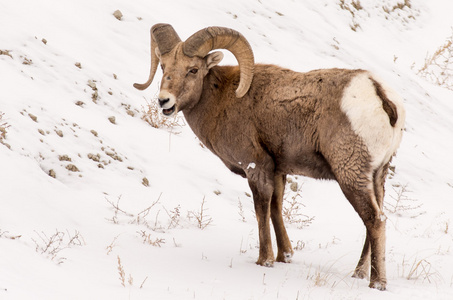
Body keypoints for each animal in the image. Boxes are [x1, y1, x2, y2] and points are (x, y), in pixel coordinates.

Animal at [133, 24, 402, 290]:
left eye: (193, 69)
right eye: (164, 67)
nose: (164, 101)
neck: (222, 100)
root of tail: (379, 95)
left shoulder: (256, 167)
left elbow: (261, 209)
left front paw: (265, 261)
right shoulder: (278, 171)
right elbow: (276, 208)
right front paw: (285, 256)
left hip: (350, 175)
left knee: (375, 220)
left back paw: (377, 283)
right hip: (377, 176)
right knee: (375, 218)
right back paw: (358, 273)